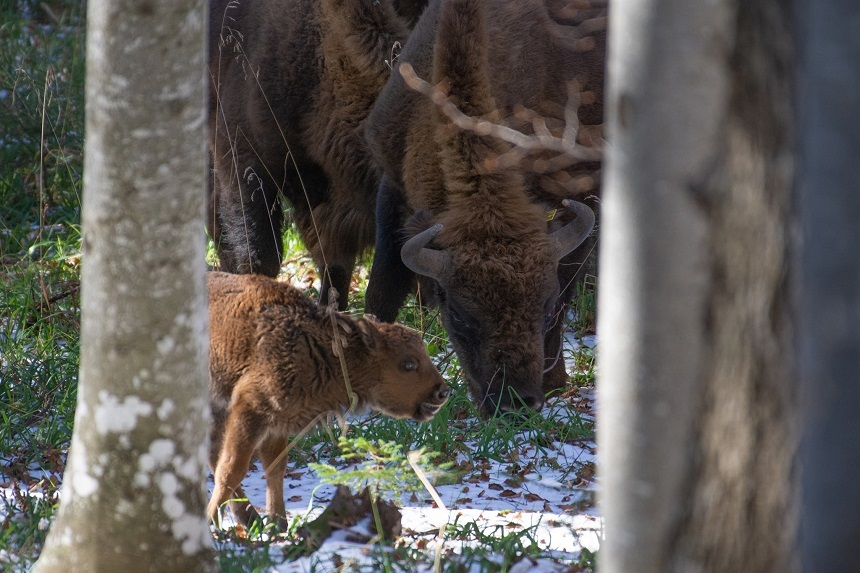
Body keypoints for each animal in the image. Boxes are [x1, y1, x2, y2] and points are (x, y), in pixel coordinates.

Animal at [207, 272, 450, 524]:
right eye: (408, 364)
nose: (443, 392)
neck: (320, 349)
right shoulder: (250, 410)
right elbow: (232, 470)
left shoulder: (278, 423)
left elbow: (275, 468)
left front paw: (278, 524)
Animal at [364, 0, 604, 414]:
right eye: (459, 316)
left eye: (543, 308)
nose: (515, 403)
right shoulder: (391, 182)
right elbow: (383, 286)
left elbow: (567, 287)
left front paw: (554, 381)